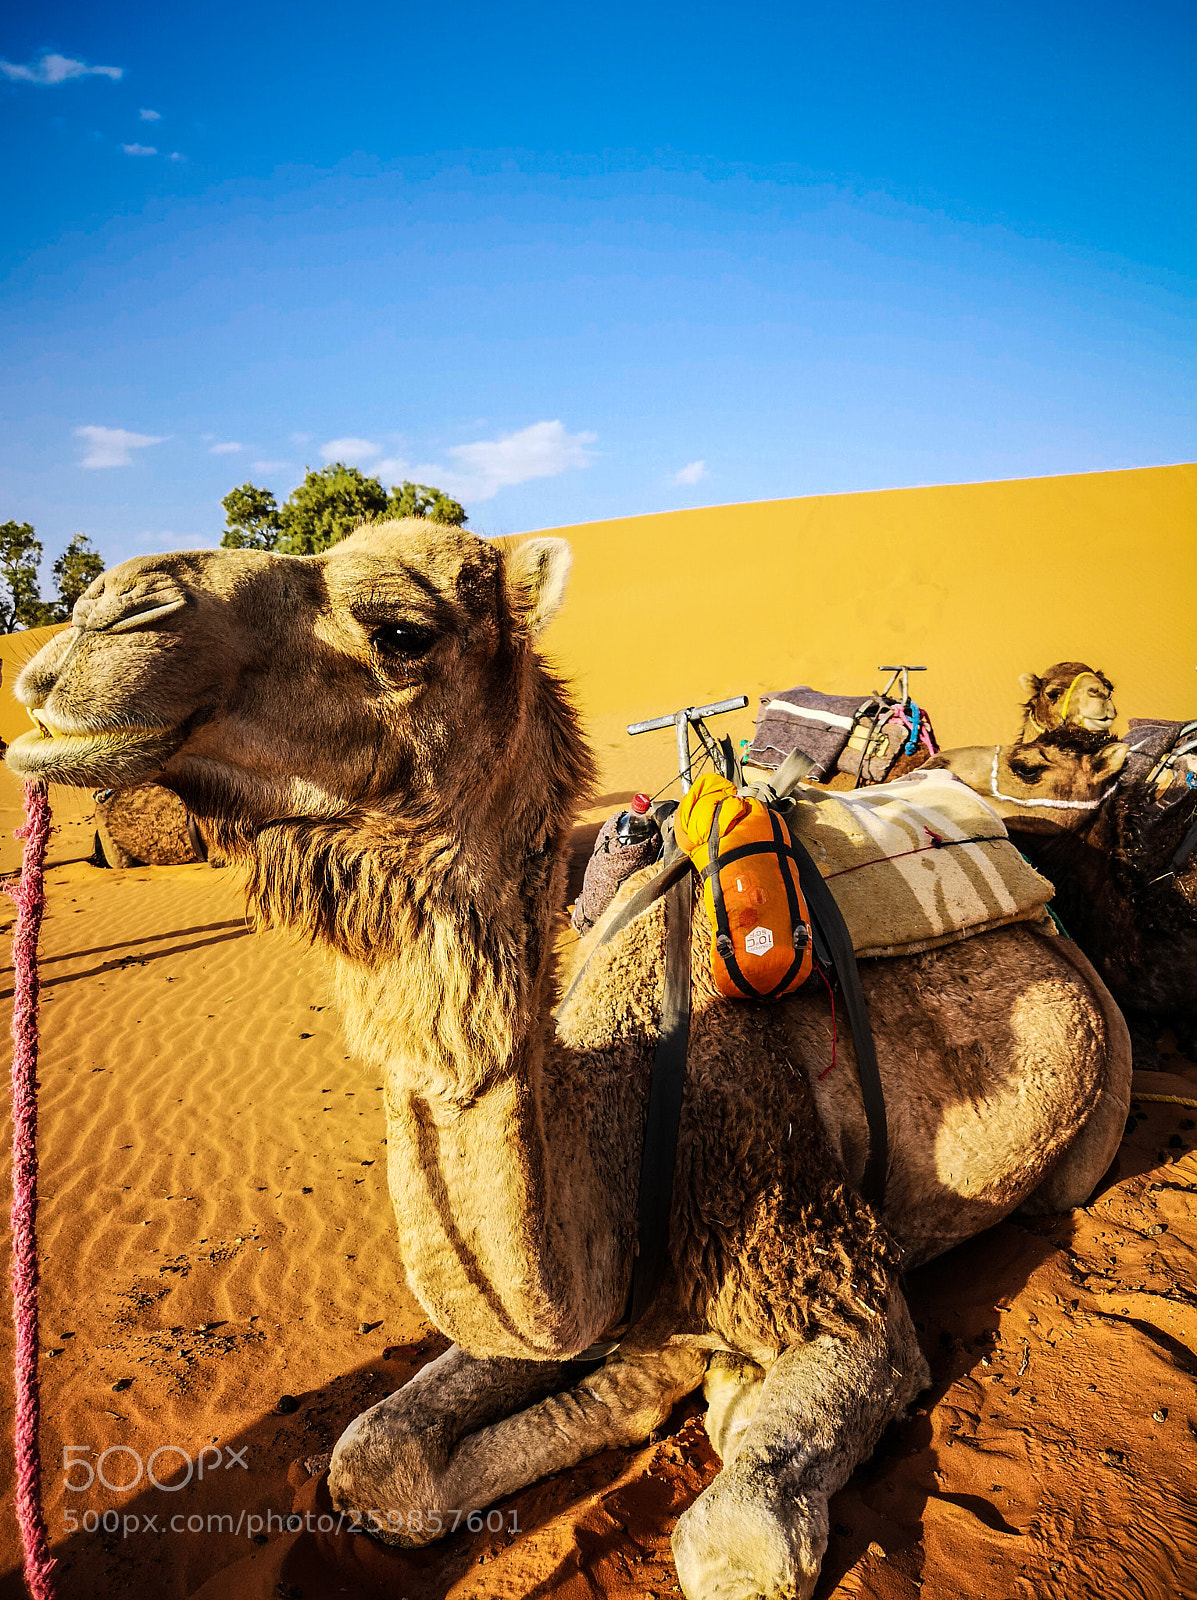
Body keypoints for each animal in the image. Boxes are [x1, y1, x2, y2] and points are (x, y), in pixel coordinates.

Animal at [7, 522, 1131, 1600]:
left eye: (402, 633)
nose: (104, 615)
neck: (632, 1123)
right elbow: (377, 1459)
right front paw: (648, 1392)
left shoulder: (841, 1284)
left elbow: (736, 1542)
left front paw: (713, 1406)